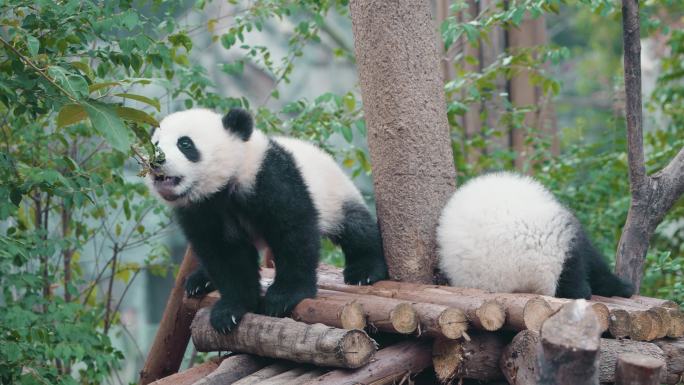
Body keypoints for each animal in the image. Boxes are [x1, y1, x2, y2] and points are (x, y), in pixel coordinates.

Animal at [147, 106, 388, 332]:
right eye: (155, 143)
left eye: (185, 143)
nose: (156, 160)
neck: (224, 186)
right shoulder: (201, 211)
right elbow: (224, 255)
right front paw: (231, 310)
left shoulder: (270, 178)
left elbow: (293, 233)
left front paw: (283, 297)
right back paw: (199, 280)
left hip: (334, 194)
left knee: (355, 227)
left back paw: (364, 270)